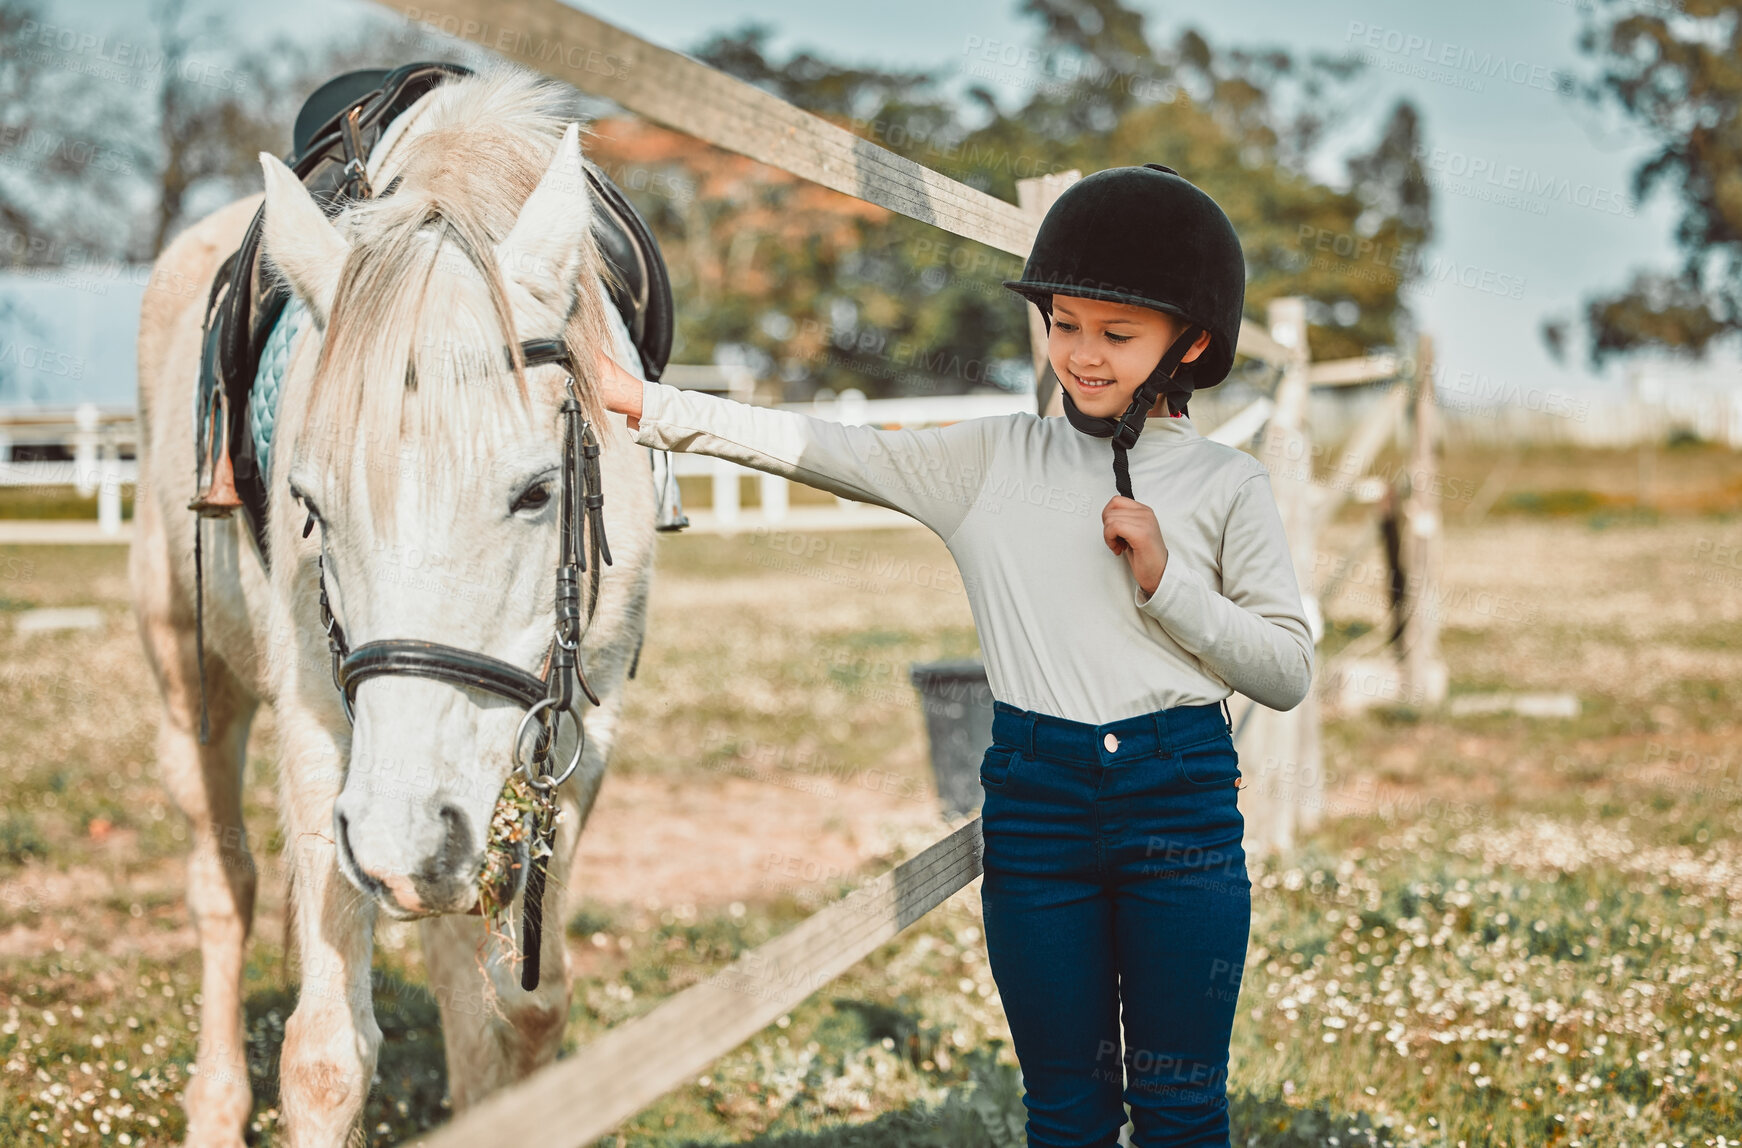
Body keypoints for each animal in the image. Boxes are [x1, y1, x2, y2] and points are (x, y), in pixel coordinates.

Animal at [130, 71, 658, 1148]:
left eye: (536, 491)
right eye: (310, 503)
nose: (398, 830)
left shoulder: (580, 735)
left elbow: (527, 1008)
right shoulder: (322, 731)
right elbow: (327, 1058)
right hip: (191, 688)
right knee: (224, 891)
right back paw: (215, 1105)